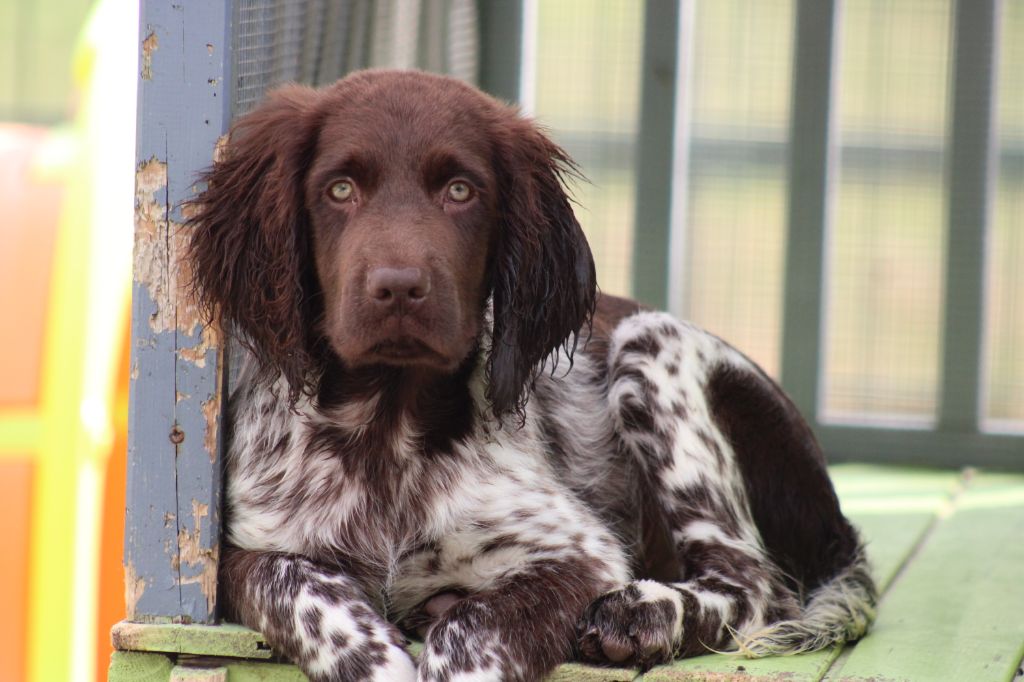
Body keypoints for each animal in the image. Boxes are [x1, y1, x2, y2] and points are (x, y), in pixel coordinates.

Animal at [188, 70, 876, 679]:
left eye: (461, 191)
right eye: (339, 190)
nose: (400, 287)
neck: (386, 426)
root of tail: (835, 521)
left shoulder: (579, 552)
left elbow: (474, 632)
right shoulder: (239, 553)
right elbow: (298, 588)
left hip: (649, 345)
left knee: (755, 583)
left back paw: (644, 614)